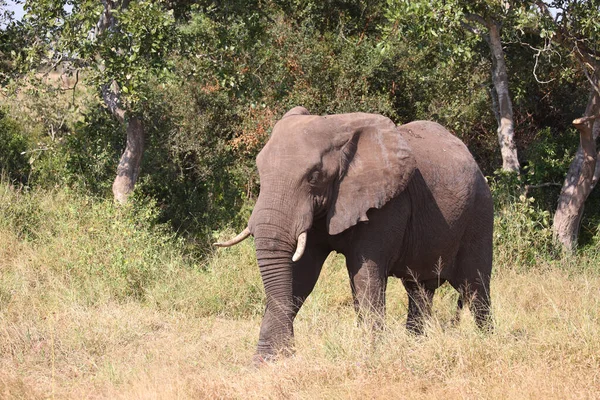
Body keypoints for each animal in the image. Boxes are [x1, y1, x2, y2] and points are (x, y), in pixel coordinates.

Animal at [216, 105, 492, 360]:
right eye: (260, 170)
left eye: (314, 176)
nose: (289, 351)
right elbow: (301, 275)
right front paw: (266, 363)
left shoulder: (387, 205)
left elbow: (364, 276)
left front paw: (370, 357)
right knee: (420, 290)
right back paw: (416, 346)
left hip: (479, 214)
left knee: (475, 287)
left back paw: (484, 343)